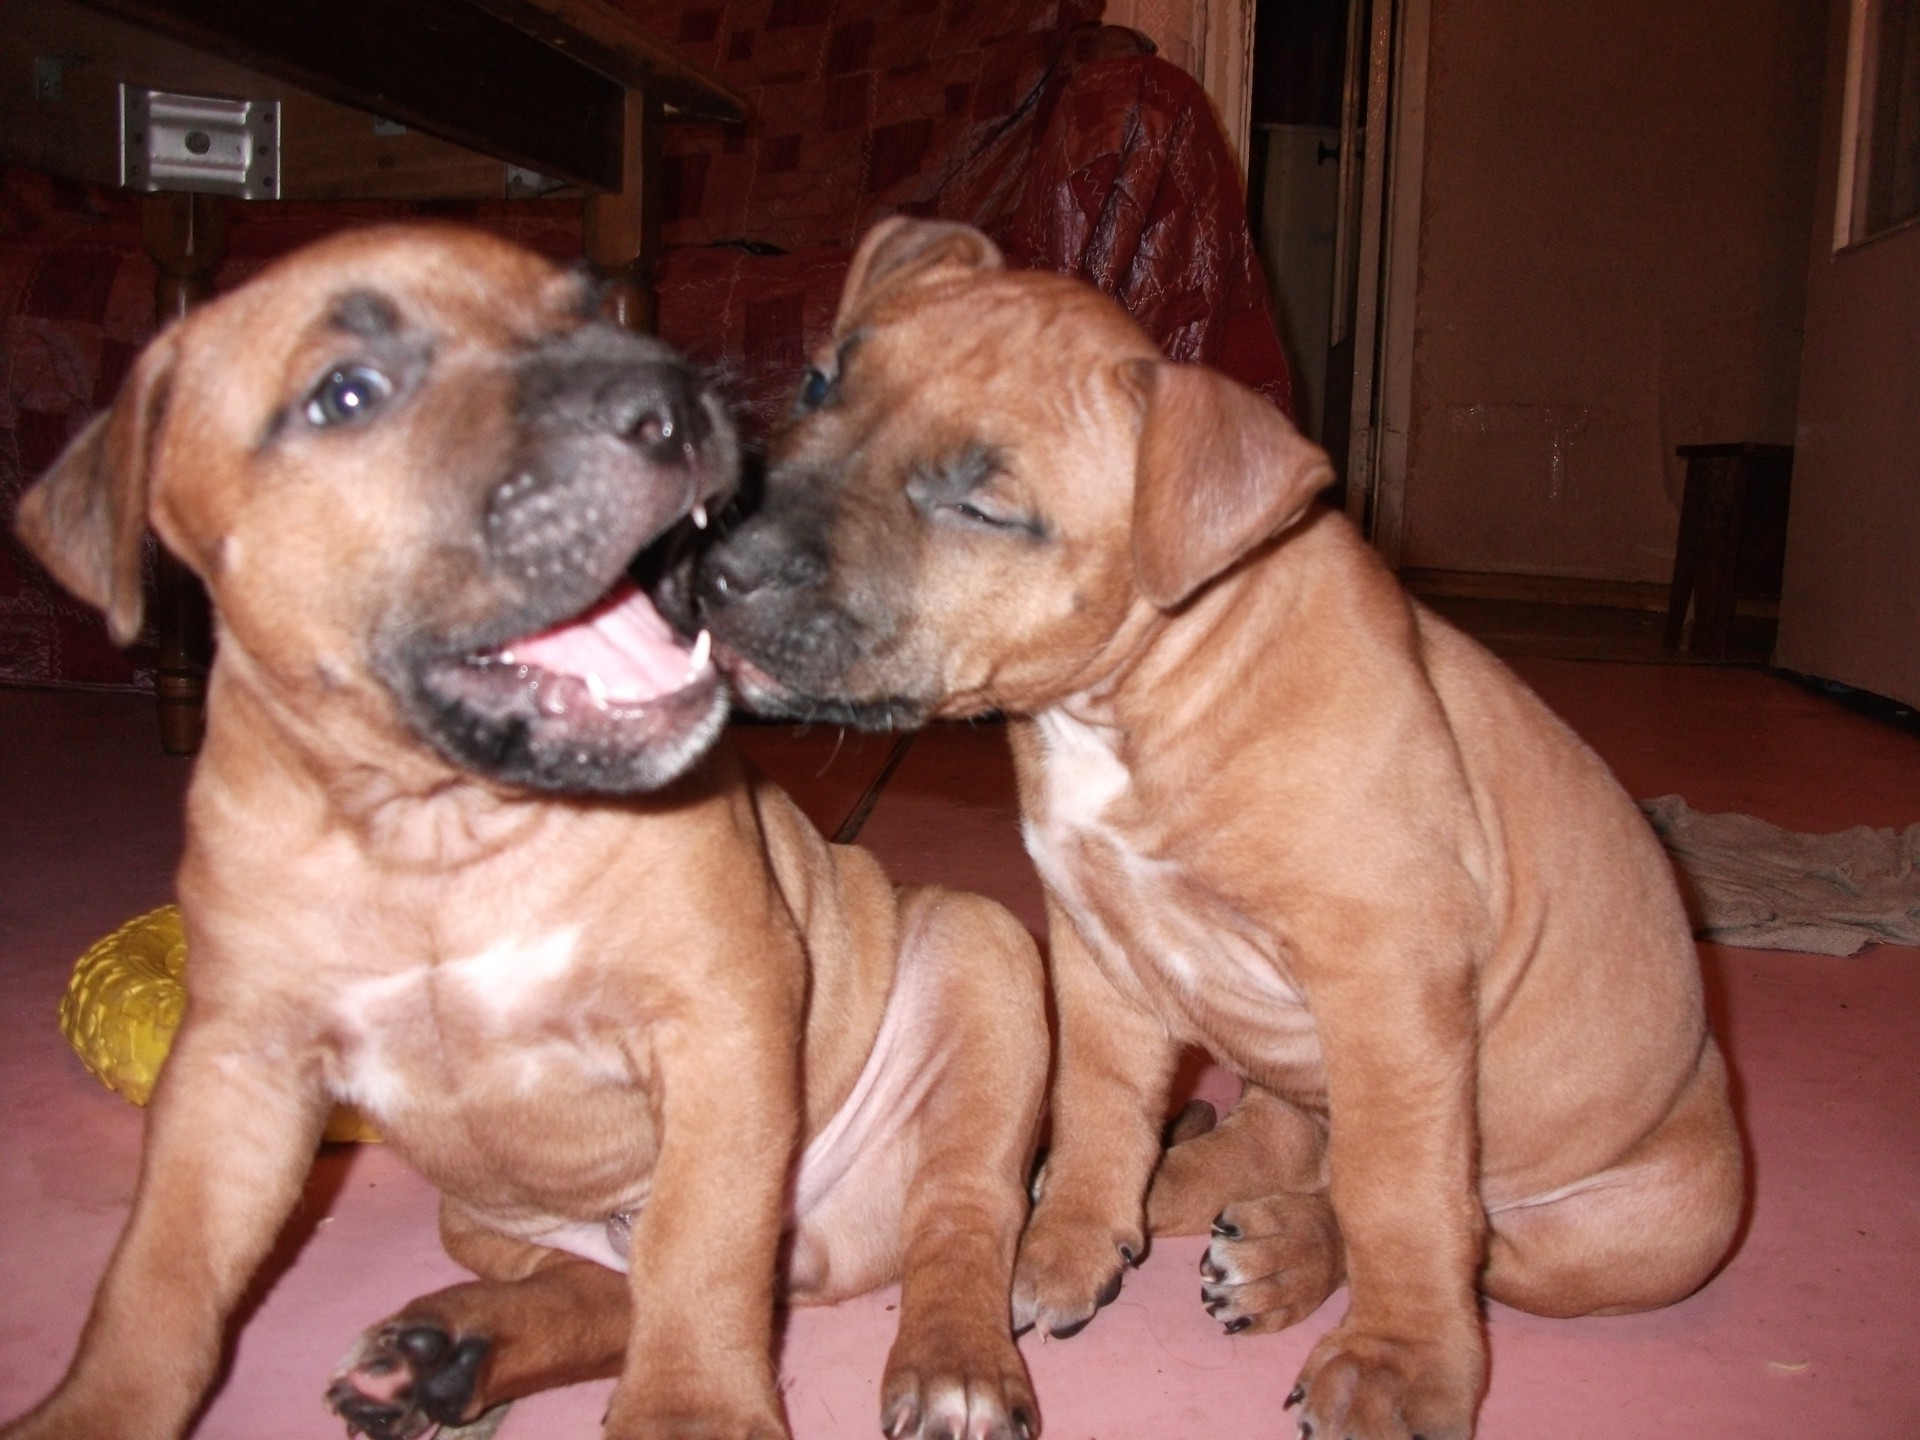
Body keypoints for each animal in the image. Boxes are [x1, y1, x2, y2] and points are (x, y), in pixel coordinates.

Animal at [7, 225, 1044, 1440]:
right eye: (345, 393)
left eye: (593, 310)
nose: (671, 403)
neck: (439, 833)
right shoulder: (236, 1070)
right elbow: (156, 1279)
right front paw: (90, 1410)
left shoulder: (718, 1011)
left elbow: (701, 1247)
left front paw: (689, 1411)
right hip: (476, 1213)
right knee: (600, 1288)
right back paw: (448, 1355)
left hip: (979, 957)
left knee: (957, 1209)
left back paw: (954, 1364)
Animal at [683, 216, 1751, 1440]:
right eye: (818, 383)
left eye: (985, 510)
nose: (717, 569)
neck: (1147, 692)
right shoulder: (1100, 946)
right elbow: (1103, 1099)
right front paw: (1071, 1237)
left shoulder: (1390, 984)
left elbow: (1404, 1198)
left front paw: (1397, 1366)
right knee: (1289, 1143)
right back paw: (1184, 1192)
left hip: (1652, 1229)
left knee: (1460, 1231)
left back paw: (1290, 1253)